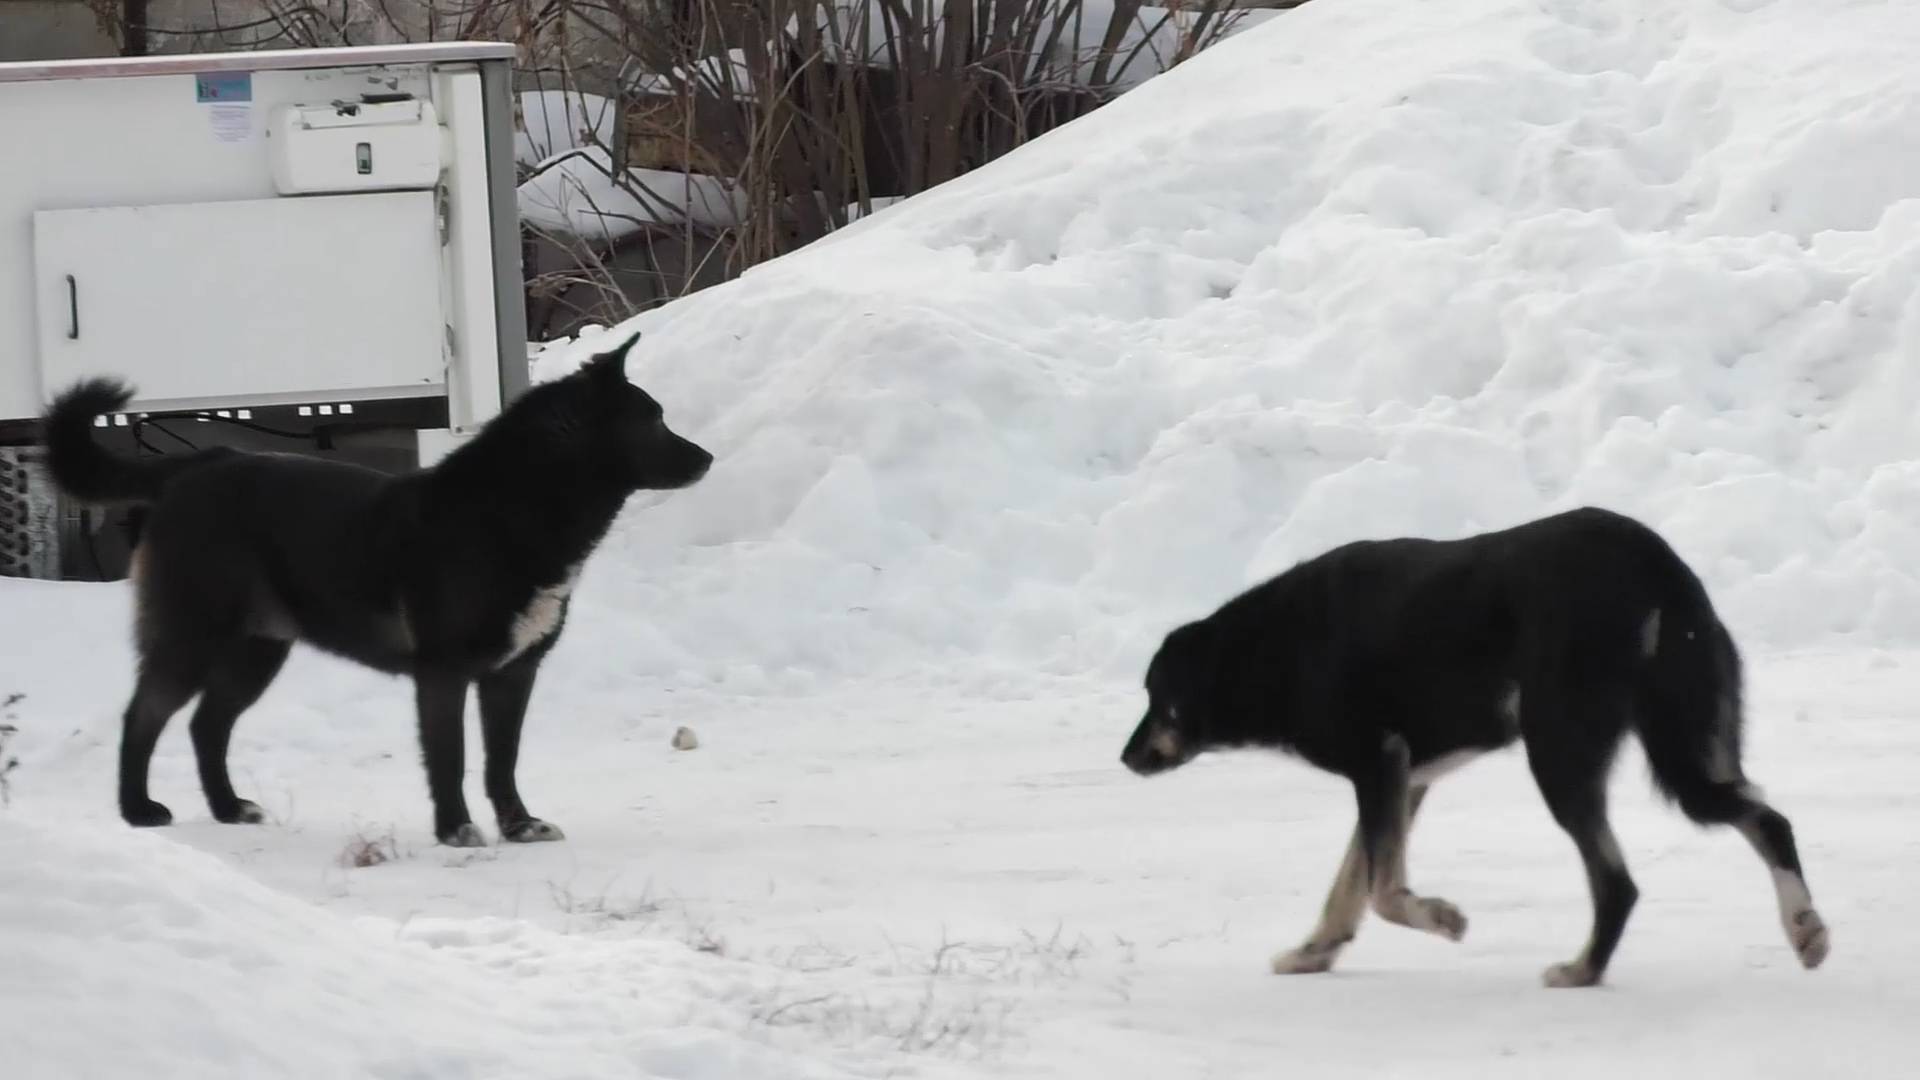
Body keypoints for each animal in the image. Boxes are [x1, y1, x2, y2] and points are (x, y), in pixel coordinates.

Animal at [41, 332, 710, 845]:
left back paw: (231, 809)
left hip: (256, 651)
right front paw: (455, 830)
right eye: (653, 420)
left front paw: (519, 826)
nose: (706, 459)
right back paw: (137, 811)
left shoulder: (511, 676)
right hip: (192, 640)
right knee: (143, 716)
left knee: (207, 726)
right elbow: (451, 758)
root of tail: (199, 464)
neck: (508, 509)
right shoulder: (443, 674)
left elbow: (502, 761)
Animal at [1121, 503, 1827, 983]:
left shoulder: (1378, 764)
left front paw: (1440, 917)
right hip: (1686, 747)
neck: (1271, 649)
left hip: (1562, 756)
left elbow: (1383, 893)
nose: (1125, 757)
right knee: (1768, 822)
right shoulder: (1402, 779)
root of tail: (1653, 564)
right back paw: (1805, 930)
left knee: (1617, 883)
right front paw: (1315, 950)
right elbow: (1350, 885)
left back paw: (1582, 970)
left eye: (1156, 696)